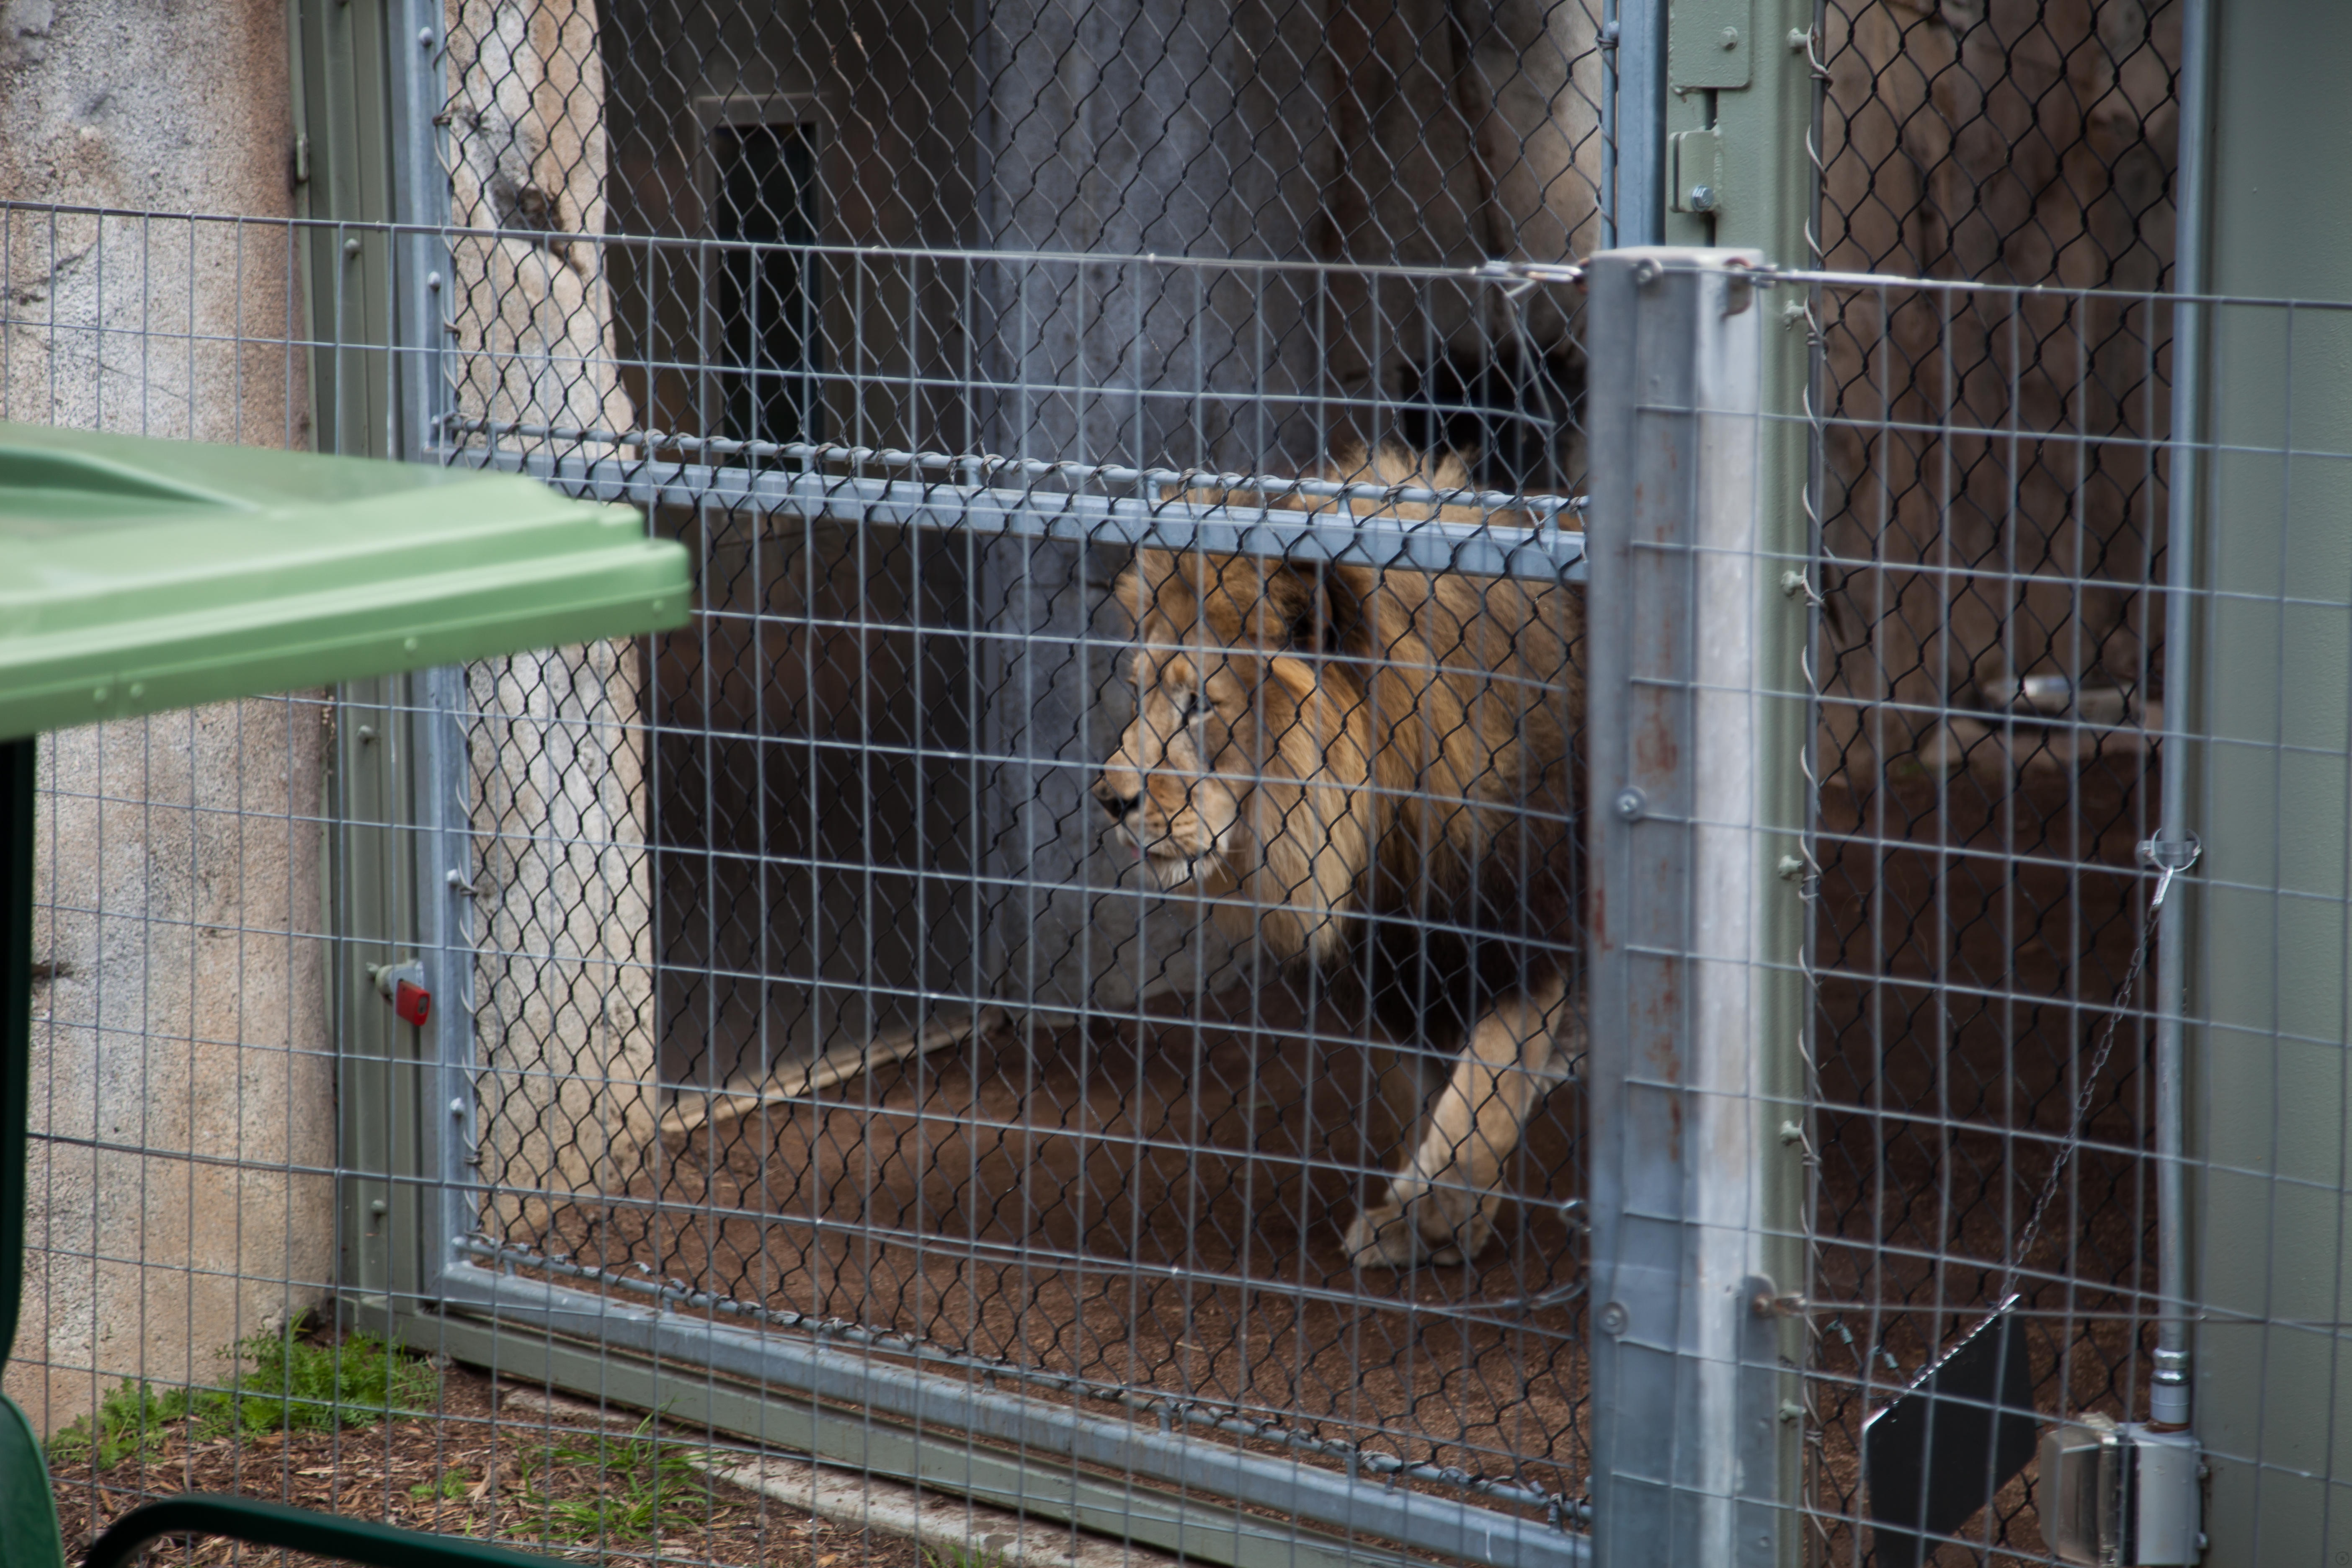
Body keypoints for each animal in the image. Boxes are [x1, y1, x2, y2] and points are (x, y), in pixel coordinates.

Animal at [1096, 444, 1580, 1279]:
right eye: (1141, 691)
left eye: (1200, 705)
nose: (1110, 799)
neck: (1390, 827)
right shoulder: (1395, 956)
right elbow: (1431, 1096)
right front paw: (1431, 1223)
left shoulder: (1528, 922)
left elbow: (1478, 1098)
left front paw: (1432, 1220)